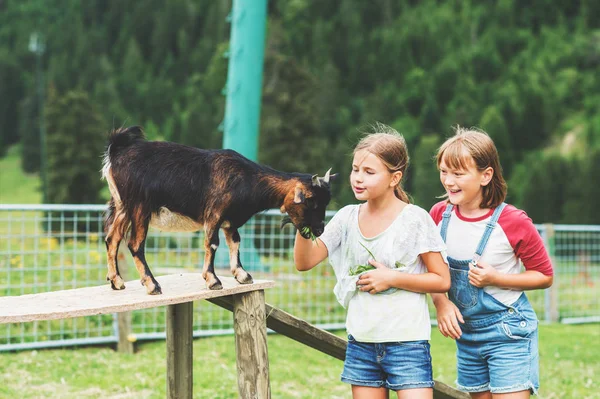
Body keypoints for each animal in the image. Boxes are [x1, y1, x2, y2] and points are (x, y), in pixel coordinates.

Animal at [103, 126, 338, 296]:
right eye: (311, 202)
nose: (319, 231)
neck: (247, 179)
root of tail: (116, 152)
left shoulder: (231, 220)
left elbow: (235, 242)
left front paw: (242, 275)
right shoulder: (214, 214)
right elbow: (213, 244)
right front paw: (213, 280)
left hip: (122, 207)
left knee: (112, 239)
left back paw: (117, 282)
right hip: (139, 207)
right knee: (134, 244)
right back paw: (152, 285)